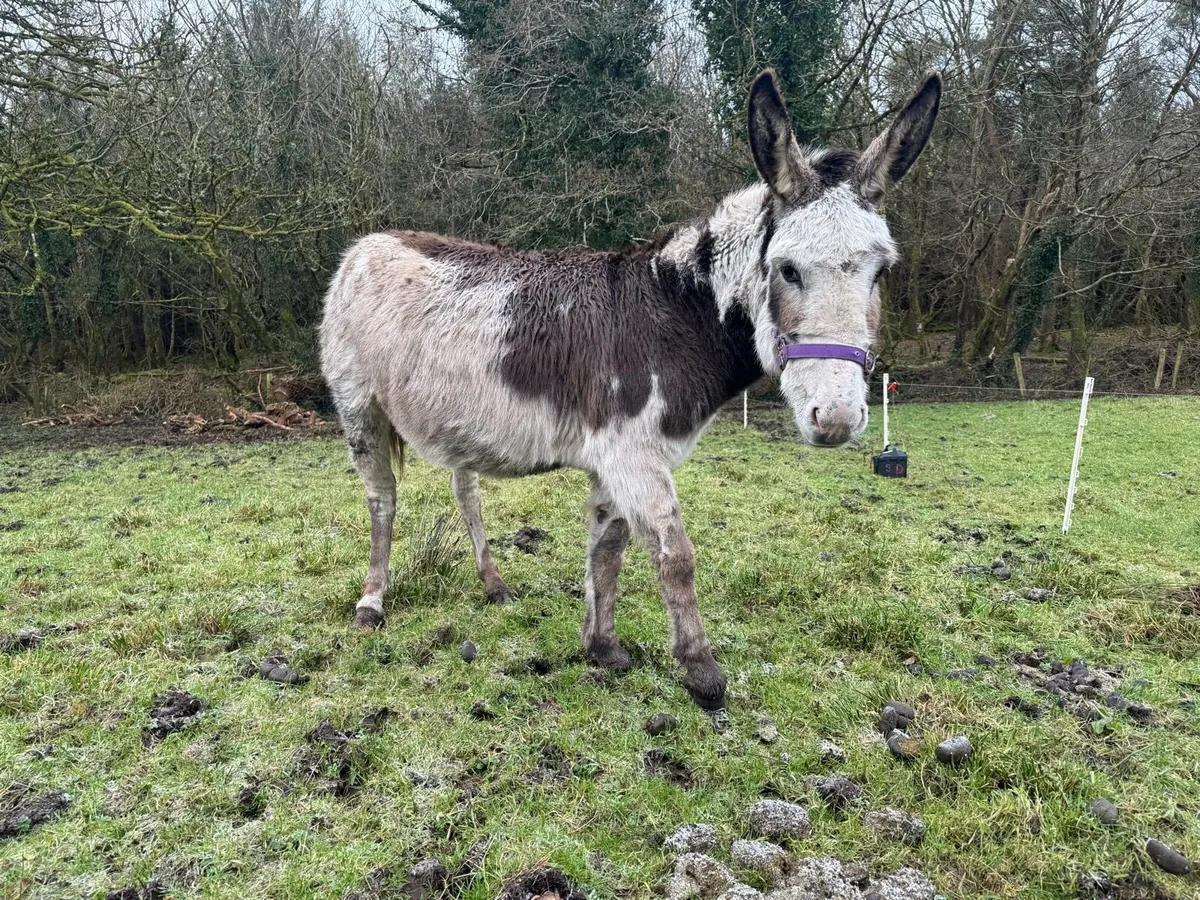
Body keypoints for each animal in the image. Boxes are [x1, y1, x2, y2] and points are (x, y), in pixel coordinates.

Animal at [318, 69, 941, 709]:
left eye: (882, 273)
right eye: (787, 269)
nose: (836, 418)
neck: (674, 315)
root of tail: (367, 243)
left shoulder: (617, 460)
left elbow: (608, 547)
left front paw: (603, 649)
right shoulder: (631, 455)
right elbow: (674, 556)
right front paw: (702, 673)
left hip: (456, 422)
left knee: (465, 489)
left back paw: (492, 583)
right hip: (358, 407)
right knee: (382, 500)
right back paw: (371, 603)